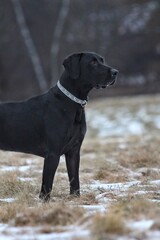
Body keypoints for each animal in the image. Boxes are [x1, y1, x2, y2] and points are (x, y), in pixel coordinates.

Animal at [0, 52, 117, 201]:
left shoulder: (74, 151)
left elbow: (74, 179)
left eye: (102, 60)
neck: (71, 103)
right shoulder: (52, 153)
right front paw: (45, 202)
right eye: (93, 62)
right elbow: (47, 184)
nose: (115, 72)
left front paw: (75, 199)